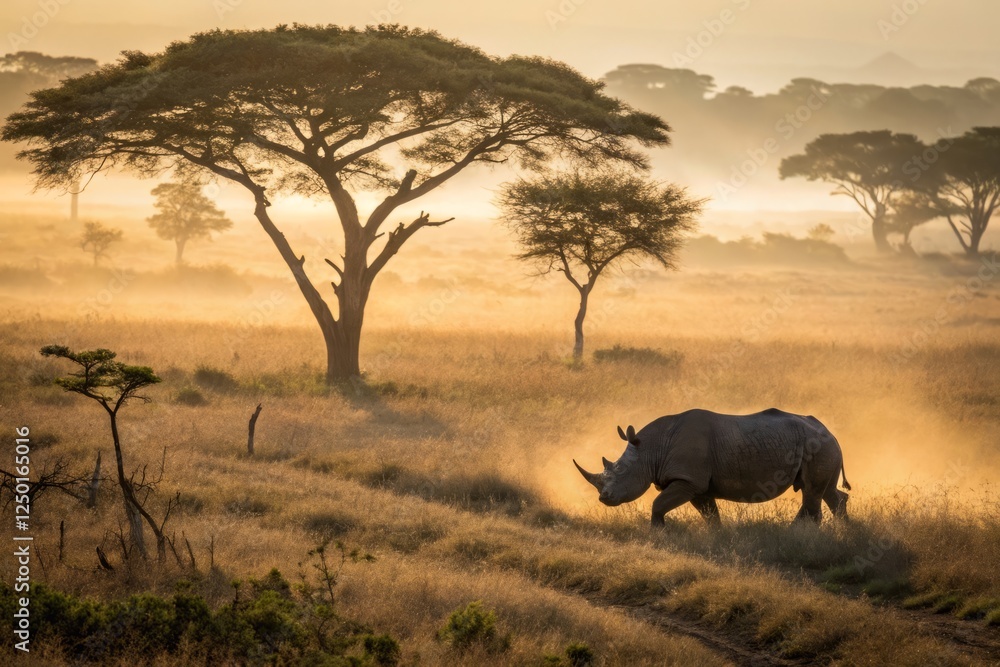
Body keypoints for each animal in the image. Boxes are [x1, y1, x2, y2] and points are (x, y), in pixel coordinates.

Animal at [574, 408, 851, 527]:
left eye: (621, 472)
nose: (603, 498)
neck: (651, 448)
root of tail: (831, 432)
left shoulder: (688, 480)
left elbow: (658, 504)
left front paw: (659, 530)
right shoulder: (697, 485)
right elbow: (710, 514)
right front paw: (717, 535)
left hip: (818, 445)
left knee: (812, 491)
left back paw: (802, 534)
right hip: (821, 445)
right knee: (823, 492)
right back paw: (842, 531)